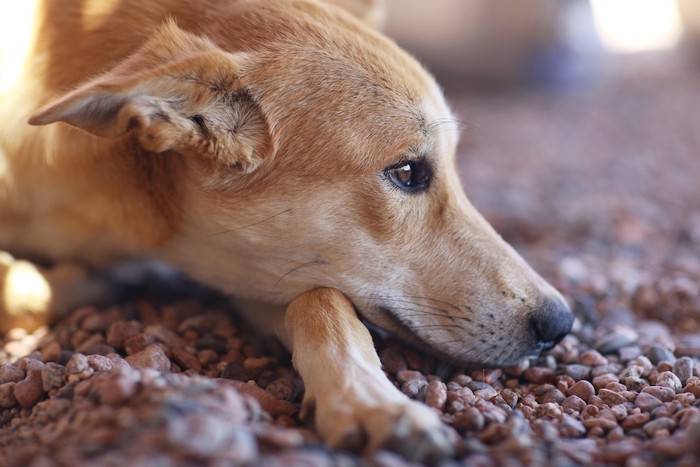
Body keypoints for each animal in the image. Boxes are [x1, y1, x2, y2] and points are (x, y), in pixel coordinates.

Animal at [0, 0, 576, 462]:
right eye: (409, 173)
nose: (561, 323)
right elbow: (34, 286)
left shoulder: (264, 270)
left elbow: (324, 304)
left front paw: (371, 401)